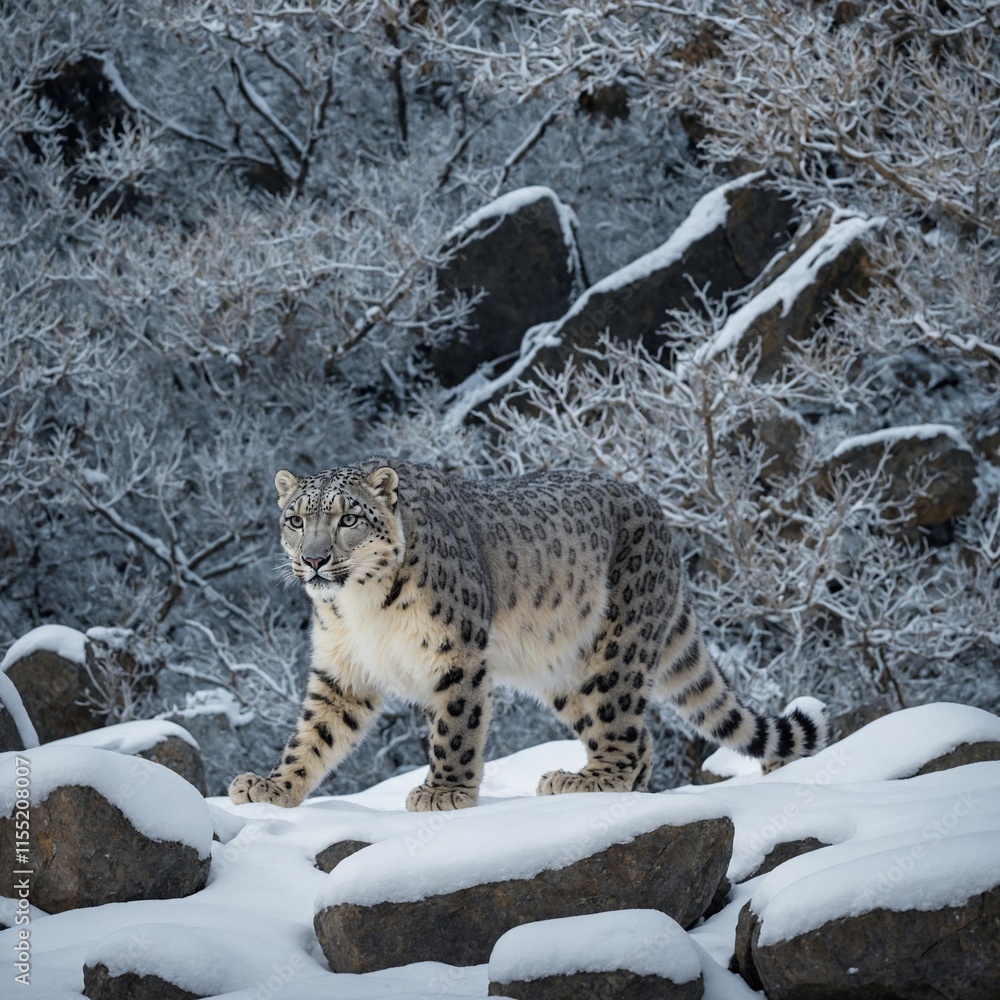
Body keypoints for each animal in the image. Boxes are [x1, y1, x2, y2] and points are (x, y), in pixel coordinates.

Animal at [229, 457, 827, 812]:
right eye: (296, 520)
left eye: (348, 519)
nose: (314, 560)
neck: (360, 608)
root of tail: (655, 510)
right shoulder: (341, 669)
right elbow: (314, 733)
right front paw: (272, 786)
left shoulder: (455, 651)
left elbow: (455, 726)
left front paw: (444, 791)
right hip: (562, 669)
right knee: (636, 737)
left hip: (616, 648)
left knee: (621, 725)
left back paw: (588, 780)